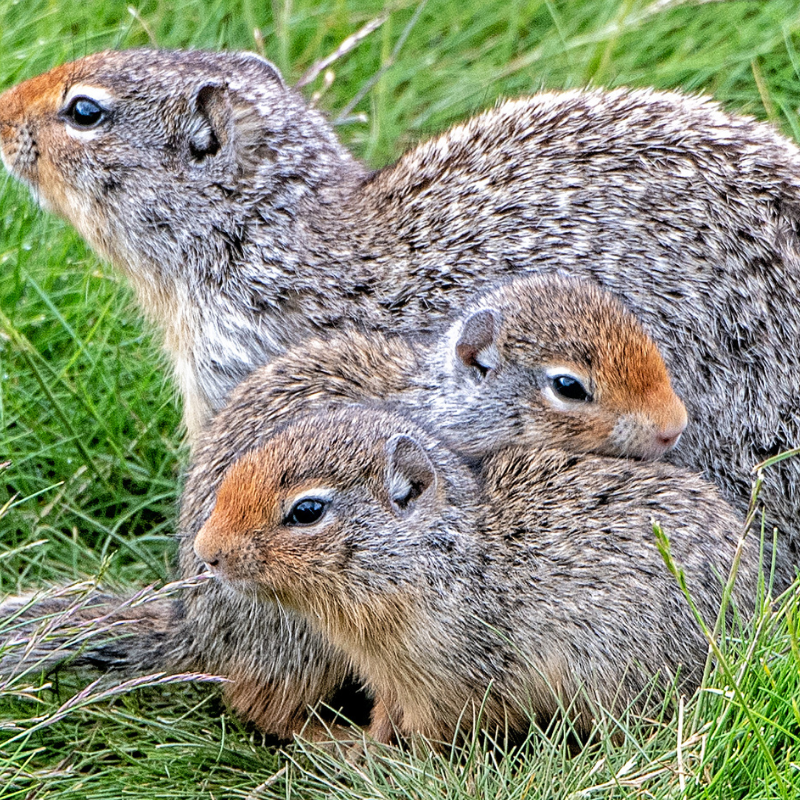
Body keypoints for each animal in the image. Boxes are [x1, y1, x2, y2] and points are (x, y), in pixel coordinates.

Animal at [194, 406, 756, 744]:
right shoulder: (393, 681)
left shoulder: (447, 686)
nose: (207, 553)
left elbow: (433, 737)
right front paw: (364, 750)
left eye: (307, 511)